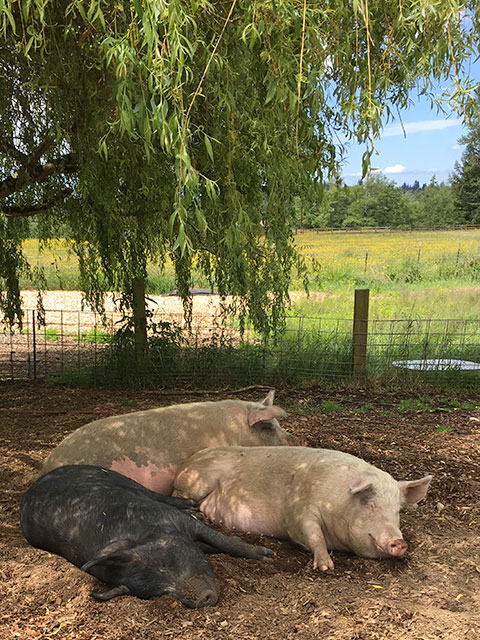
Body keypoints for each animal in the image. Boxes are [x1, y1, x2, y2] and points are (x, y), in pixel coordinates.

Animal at [19, 464, 274, 604]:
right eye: (162, 592)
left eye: (170, 561)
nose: (206, 598)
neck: (144, 530)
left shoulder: (170, 517)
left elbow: (225, 542)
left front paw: (268, 555)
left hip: (126, 481)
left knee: (158, 494)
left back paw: (195, 509)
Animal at [174, 444, 434, 568]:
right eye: (371, 505)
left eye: (398, 511)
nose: (399, 542)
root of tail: (188, 461)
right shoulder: (297, 511)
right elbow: (312, 533)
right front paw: (326, 566)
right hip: (195, 481)